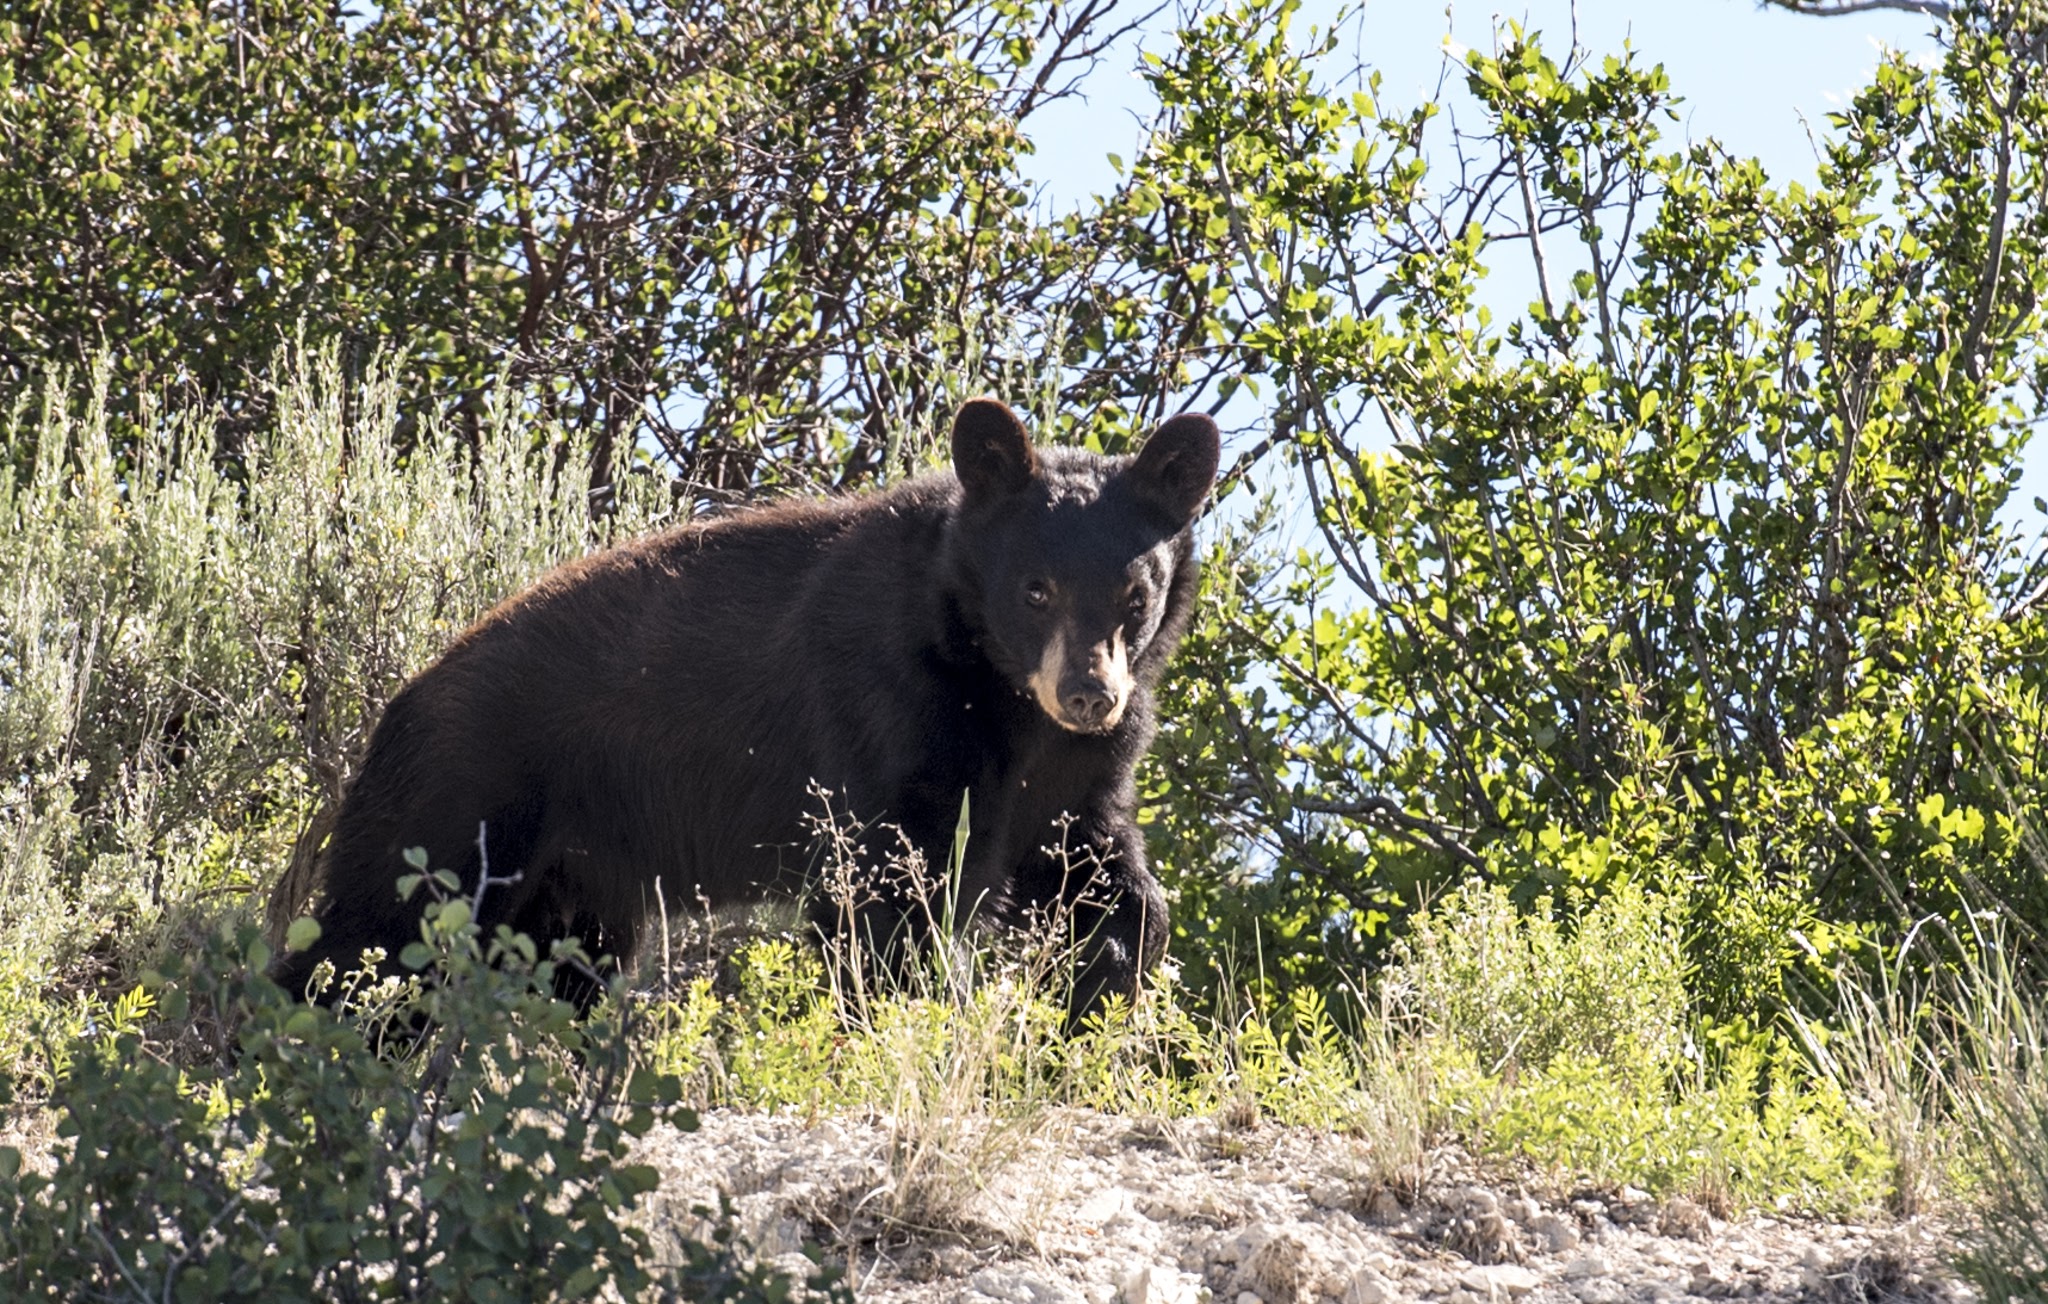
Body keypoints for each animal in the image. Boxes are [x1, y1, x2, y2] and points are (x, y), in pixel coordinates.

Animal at [274, 397, 1220, 1015]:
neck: (999, 688)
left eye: (1134, 594)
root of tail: (396, 704)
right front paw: (909, 1020)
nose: (1089, 694)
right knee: (372, 937)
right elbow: (886, 891)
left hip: (572, 878)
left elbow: (1090, 863)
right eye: (1035, 588)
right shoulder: (890, 705)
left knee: (556, 967)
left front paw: (1103, 986)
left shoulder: (1077, 767)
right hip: (460, 796)